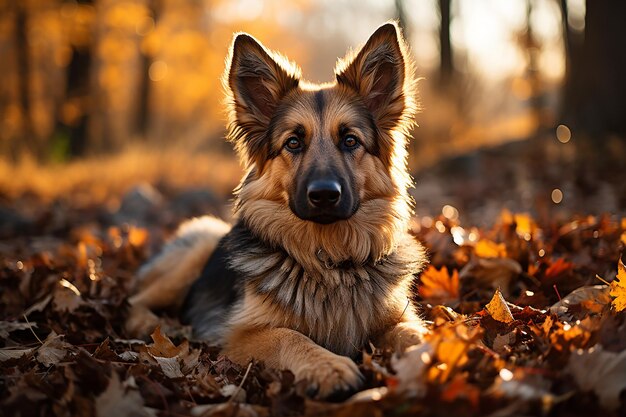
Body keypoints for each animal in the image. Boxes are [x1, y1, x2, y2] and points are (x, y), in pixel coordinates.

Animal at [127, 21, 428, 398]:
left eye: (350, 141)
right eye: (293, 143)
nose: (324, 195)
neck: (328, 260)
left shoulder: (398, 317)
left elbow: (414, 334)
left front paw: (432, 355)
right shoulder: (242, 335)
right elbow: (290, 336)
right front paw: (329, 367)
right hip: (198, 249)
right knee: (135, 300)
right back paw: (150, 324)